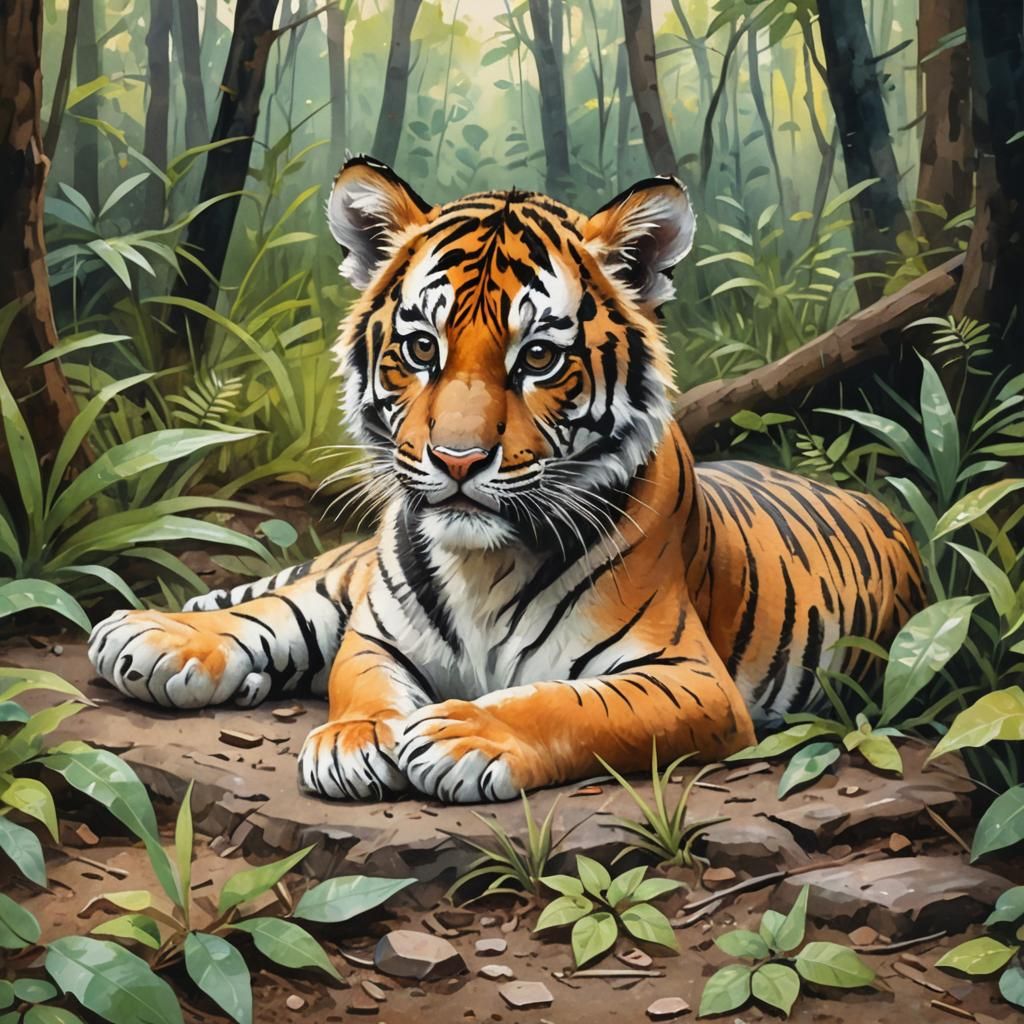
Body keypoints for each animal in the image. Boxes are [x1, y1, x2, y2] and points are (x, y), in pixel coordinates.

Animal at [88, 155, 926, 804]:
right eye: (421, 348)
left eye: (539, 358)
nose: (457, 461)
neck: (480, 565)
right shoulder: (376, 632)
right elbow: (357, 680)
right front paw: (354, 738)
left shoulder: (691, 680)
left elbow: (576, 707)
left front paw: (468, 733)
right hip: (351, 578)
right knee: (288, 601)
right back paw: (157, 636)